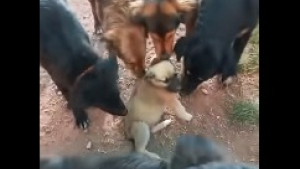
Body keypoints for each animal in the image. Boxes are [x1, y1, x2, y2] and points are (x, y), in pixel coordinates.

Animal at [39, 0, 126, 129]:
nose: (126, 112)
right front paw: (81, 119)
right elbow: (69, 96)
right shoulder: (56, 76)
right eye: (102, 101)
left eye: (118, 92)